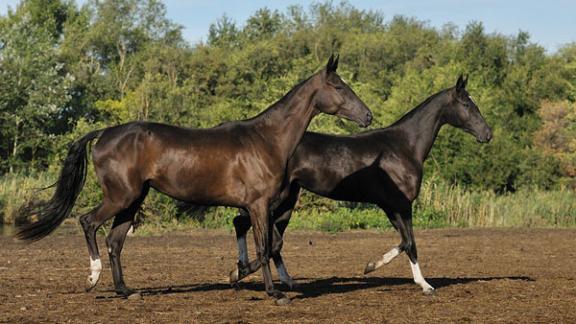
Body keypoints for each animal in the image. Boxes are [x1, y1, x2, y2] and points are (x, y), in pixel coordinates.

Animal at [16, 54, 374, 306]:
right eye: (339, 87)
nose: (368, 116)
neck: (268, 140)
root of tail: (104, 133)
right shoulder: (258, 205)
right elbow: (265, 246)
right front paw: (273, 292)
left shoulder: (264, 207)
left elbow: (270, 245)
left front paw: (243, 275)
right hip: (121, 196)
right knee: (88, 222)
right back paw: (93, 278)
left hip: (133, 199)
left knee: (115, 241)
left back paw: (125, 291)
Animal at [230, 75, 490, 294]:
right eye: (467, 105)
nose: (487, 134)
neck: (404, 147)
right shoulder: (400, 205)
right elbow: (410, 243)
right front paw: (417, 282)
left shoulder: (391, 207)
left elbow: (405, 241)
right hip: (275, 200)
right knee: (252, 228)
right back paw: (240, 272)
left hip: (287, 199)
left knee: (263, 234)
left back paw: (270, 276)